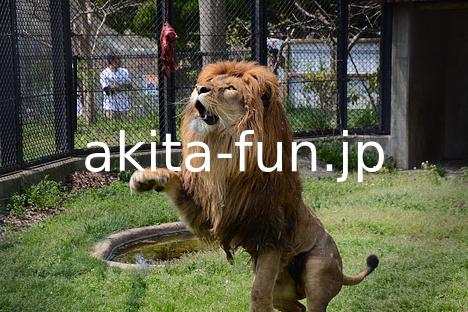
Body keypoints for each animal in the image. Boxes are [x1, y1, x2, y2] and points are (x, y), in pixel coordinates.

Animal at [130, 61, 378, 312]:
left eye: (230, 88)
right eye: (209, 82)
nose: (199, 88)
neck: (225, 151)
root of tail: (342, 272)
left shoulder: (270, 234)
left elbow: (258, 292)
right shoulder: (208, 213)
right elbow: (173, 179)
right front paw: (146, 178)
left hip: (317, 270)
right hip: (282, 289)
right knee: (296, 306)